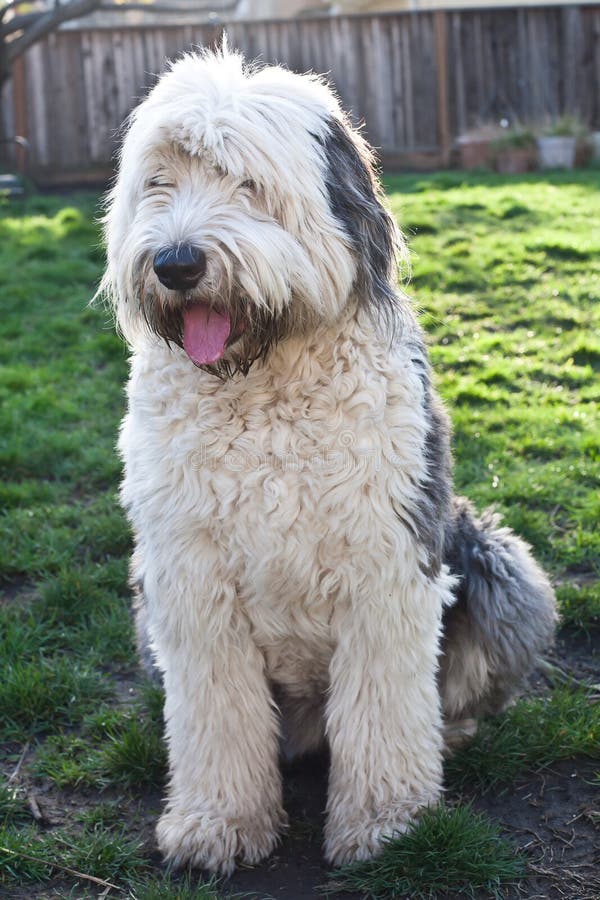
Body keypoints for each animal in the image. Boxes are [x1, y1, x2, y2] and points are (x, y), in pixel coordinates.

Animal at [99, 47, 556, 872]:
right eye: (159, 182)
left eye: (247, 183)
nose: (175, 263)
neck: (264, 386)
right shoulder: (190, 580)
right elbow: (216, 712)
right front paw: (217, 823)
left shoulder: (388, 563)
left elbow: (385, 705)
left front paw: (388, 824)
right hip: (148, 608)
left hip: (497, 564)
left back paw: (453, 733)